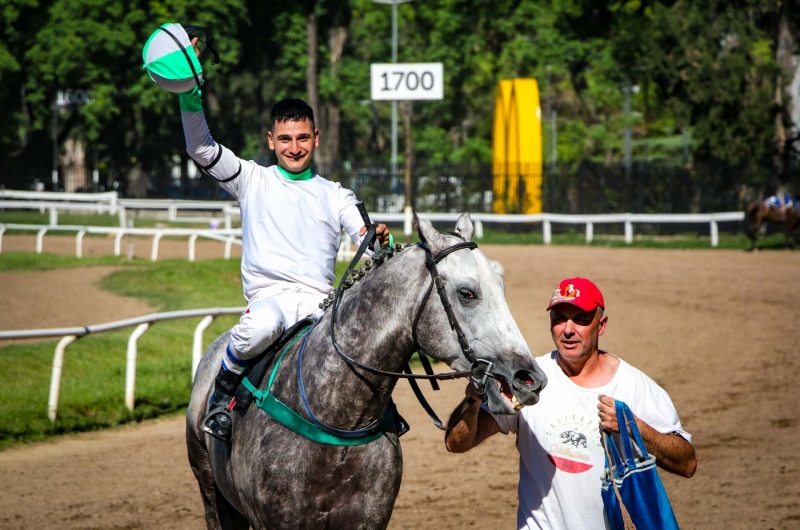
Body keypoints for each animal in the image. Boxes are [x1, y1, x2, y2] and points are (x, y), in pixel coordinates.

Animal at [187, 213, 548, 528]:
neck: (335, 421)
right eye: (467, 293)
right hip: (211, 490)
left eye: (501, 288)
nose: (530, 378)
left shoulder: (368, 518)